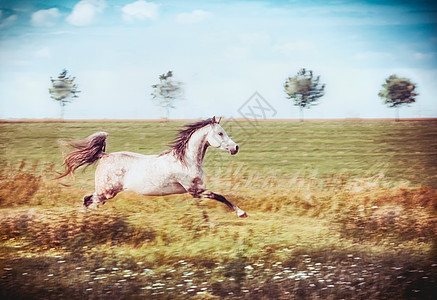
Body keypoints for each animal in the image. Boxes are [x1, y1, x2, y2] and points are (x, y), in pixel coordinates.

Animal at [58, 117, 247, 218]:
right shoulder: (194, 190)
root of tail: (104, 155)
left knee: (89, 201)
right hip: (106, 192)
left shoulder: (196, 191)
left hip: (105, 194)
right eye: (220, 133)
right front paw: (241, 213)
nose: (236, 147)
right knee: (87, 200)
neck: (186, 161)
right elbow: (221, 196)